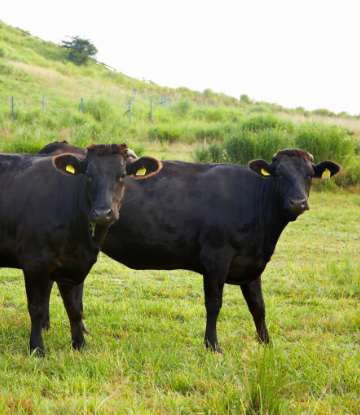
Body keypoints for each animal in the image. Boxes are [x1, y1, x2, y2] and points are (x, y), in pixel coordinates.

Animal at [0, 145, 161, 356]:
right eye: (89, 175)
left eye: (122, 175)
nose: (102, 213)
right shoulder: (34, 262)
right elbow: (37, 308)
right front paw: (37, 348)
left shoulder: (75, 264)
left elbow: (75, 309)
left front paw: (80, 345)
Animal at [39, 144, 340, 354]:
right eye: (278, 174)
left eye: (309, 175)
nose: (297, 202)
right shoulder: (216, 259)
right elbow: (214, 304)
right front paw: (212, 345)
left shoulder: (252, 263)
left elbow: (258, 307)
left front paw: (267, 344)